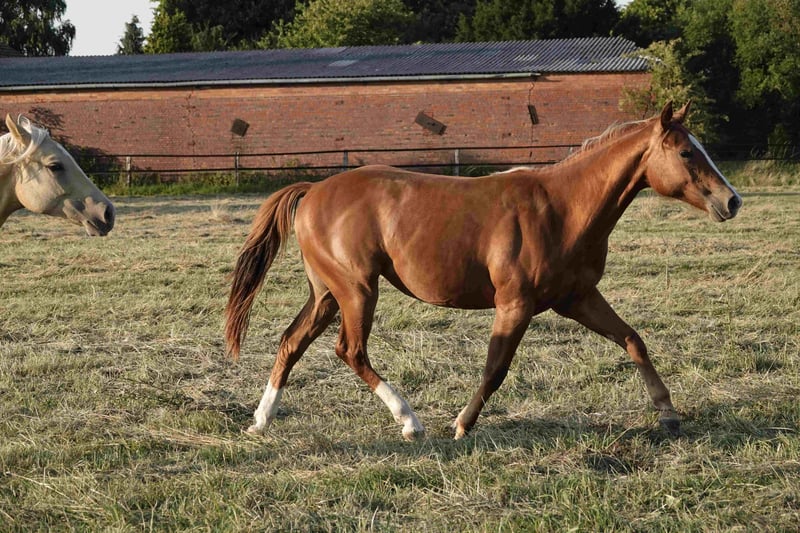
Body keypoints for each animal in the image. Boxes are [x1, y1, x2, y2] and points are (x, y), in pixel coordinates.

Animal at [225, 101, 742, 441]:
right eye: (686, 153)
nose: (732, 200)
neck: (563, 209)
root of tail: (312, 191)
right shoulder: (515, 304)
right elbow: (495, 369)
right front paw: (460, 425)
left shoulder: (577, 299)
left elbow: (634, 340)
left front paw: (668, 414)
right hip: (356, 291)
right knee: (349, 350)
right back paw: (410, 421)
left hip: (328, 293)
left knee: (292, 342)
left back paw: (261, 420)